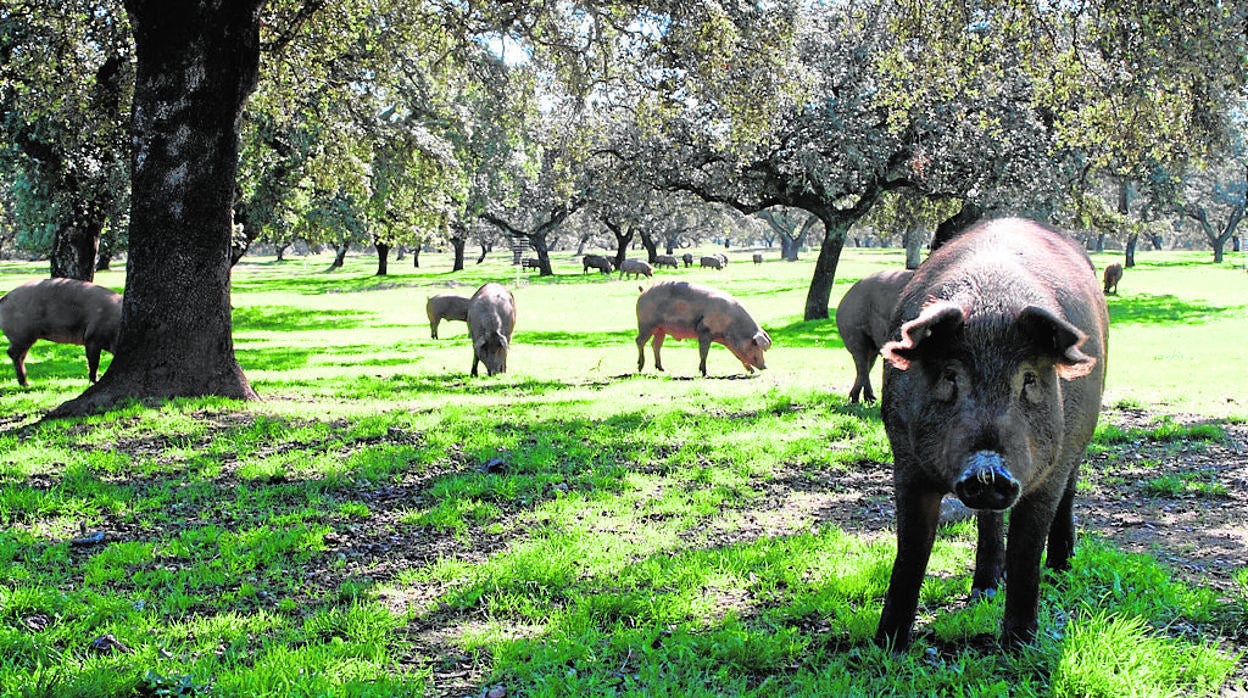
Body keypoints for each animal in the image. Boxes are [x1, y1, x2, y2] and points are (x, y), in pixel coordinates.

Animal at [633, 280, 768, 377]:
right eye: (755, 345)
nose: (765, 367)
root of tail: (643, 292)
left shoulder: (729, 343)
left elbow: (738, 355)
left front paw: (751, 371)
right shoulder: (704, 331)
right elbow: (704, 352)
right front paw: (705, 373)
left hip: (661, 329)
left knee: (655, 345)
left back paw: (662, 369)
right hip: (646, 324)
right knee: (639, 341)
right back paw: (639, 367)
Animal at [873, 217, 1108, 649]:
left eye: (1028, 379)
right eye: (951, 376)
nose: (988, 469)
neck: (991, 307)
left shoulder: (1046, 473)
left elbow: (1026, 552)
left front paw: (1019, 646)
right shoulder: (906, 461)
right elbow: (911, 551)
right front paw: (887, 645)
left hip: (1079, 439)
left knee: (1069, 492)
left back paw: (1061, 568)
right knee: (988, 520)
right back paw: (983, 590)